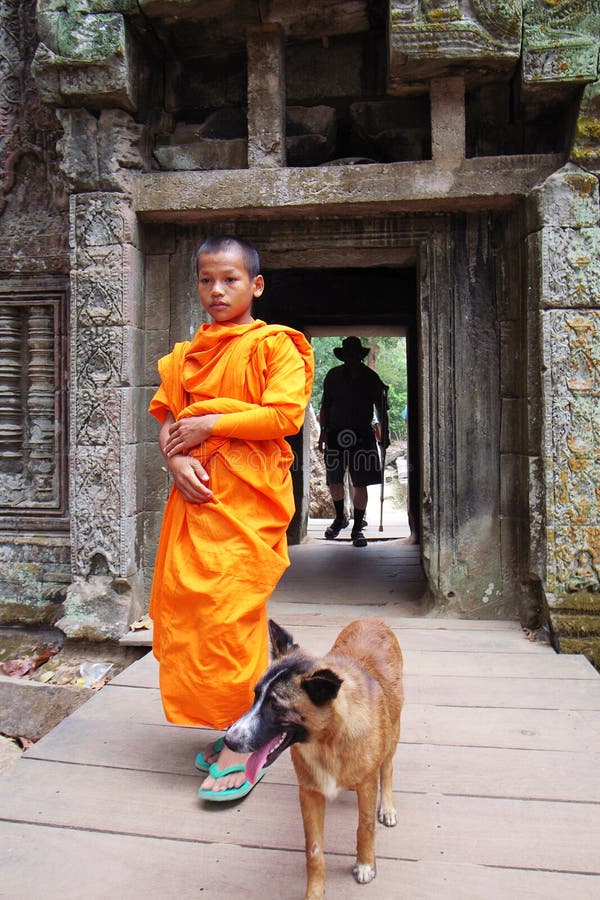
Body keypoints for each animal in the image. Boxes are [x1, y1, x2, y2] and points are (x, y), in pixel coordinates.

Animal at [225, 620, 404, 900]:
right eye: (255, 696)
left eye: (277, 707)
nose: (229, 740)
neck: (327, 741)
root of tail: (371, 620)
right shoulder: (309, 794)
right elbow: (314, 850)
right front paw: (315, 892)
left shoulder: (366, 785)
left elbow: (364, 827)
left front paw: (365, 863)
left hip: (394, 731)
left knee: (387, 768)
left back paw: (386, 806)